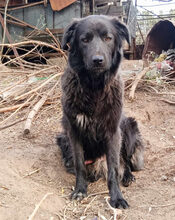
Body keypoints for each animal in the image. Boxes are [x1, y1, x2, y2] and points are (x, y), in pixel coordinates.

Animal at [57, 15, 144, 208]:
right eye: (85, 40)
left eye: (108, 38)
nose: (98, 60)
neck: (94, 88)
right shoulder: (73, 130)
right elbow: (80, 164)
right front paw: (80, 190)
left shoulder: (113, 132)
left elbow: (114, 169)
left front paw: (117, 197)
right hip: (61, 137)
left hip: (128, 127)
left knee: (125, 162)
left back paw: (128, 176)